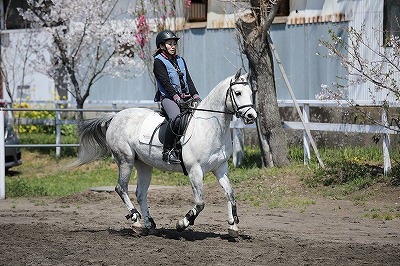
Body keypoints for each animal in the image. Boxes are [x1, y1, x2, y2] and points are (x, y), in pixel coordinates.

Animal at [70, 68, 258, 237]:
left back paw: (149, 224)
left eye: (251, 93)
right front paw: (182, 223)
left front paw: (233, 226)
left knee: (140, 193)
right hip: (125, 160)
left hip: (143, 164)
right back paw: (136, 220)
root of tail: (115, 117)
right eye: (238, 92)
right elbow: (200, 202)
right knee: (121, 188)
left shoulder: (220, 168)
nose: (251, 116)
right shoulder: (195, 170)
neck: (209, 127)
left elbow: (230, 194)